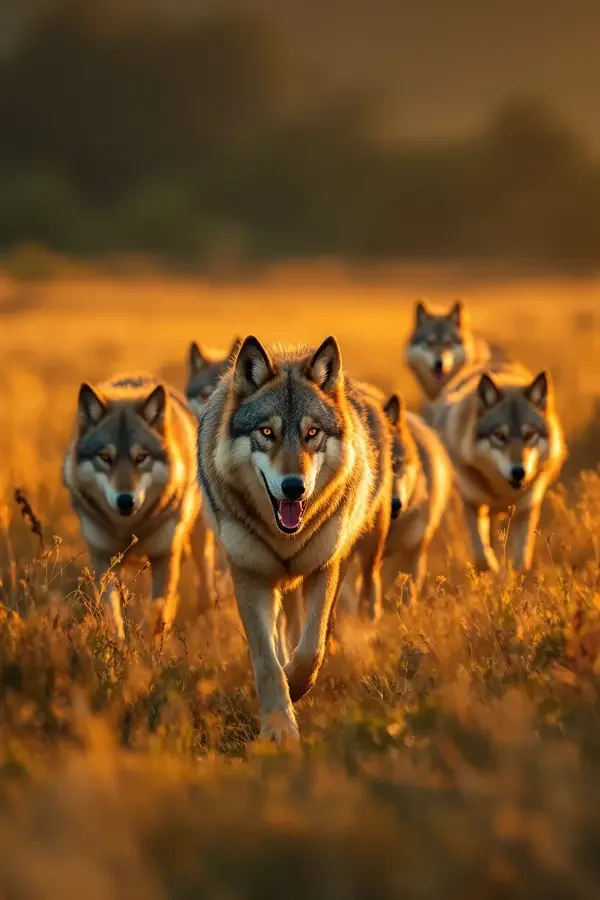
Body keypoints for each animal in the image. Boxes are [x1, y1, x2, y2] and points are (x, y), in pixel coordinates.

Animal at [63, 374, 213, 638]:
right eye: (106, 458)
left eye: (141, 458)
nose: (125, 500)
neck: (128, 528)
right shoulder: (103, 558)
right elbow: (113, 617)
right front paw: (118, 647)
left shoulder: (164, 556)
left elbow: (158, 610)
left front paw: (150, 644)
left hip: (198, 535)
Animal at [197, 335, 392, 742]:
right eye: (267, 433)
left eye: (312, 433)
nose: (293, 487)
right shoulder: (249, 576)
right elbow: (266, 660)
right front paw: (278, 726)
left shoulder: (324, 568)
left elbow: (311, 648)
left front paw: (297, 685)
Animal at [427, 362, 567, 573]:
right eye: (500, 436)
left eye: (529, 435)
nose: (519, 472)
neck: (503, 494)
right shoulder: (472, 502)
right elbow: (482, 556)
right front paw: (490, 572)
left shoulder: (527, 508)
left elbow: (520, 560)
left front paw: (510, 577)